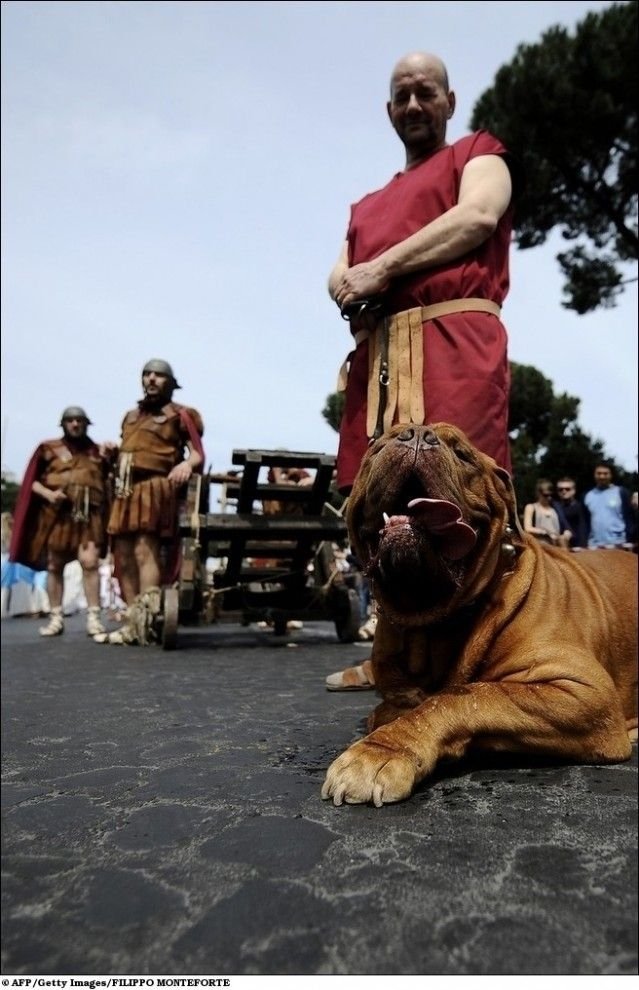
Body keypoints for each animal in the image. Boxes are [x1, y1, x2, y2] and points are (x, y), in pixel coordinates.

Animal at [322, 424, 636, 808]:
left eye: (462, 455)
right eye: (377, 447)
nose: (417, 435)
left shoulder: (583, 691)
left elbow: (465, 696)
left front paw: (382, 750)